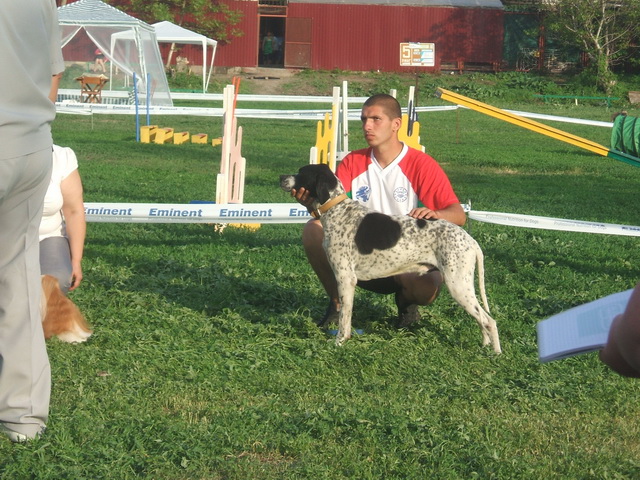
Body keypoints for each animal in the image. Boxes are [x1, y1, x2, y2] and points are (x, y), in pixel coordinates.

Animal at [280, 164, 501, 353]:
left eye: (302, 172)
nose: (281, 177)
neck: (338, 210)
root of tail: (471, 241)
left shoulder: (346, 279)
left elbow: (345, 318)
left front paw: (339, 342)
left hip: (458, 285)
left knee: (489, 321)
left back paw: (496, 353)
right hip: (462, 286)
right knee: (482, 320)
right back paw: (484, 345)